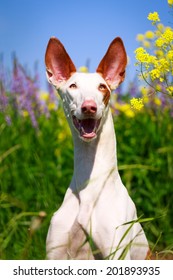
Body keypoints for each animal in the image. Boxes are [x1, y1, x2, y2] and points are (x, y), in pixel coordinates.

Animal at [44, 36, 149, 260]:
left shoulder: (116, 252)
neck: (89, 187)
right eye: (73, 85)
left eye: (102, 87)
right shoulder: (55, 253)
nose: (89, 107)